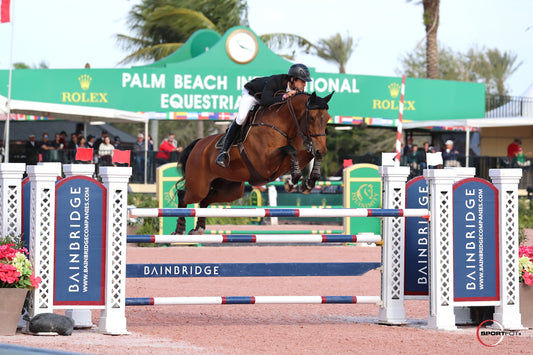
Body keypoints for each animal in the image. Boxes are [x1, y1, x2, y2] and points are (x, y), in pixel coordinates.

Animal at [174, 91, 332, 236]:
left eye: (327, 119)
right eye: (311, 118)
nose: (323, 149)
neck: (282, 126)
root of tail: (198, 144)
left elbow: (307, 154)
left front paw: (308, 183)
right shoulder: (264, 164)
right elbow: (290, 150)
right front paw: (292, 183)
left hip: (231, 190)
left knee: (206, 200)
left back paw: (198, 229)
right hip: (199, 187)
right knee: (184, 195)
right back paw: (180, 230)